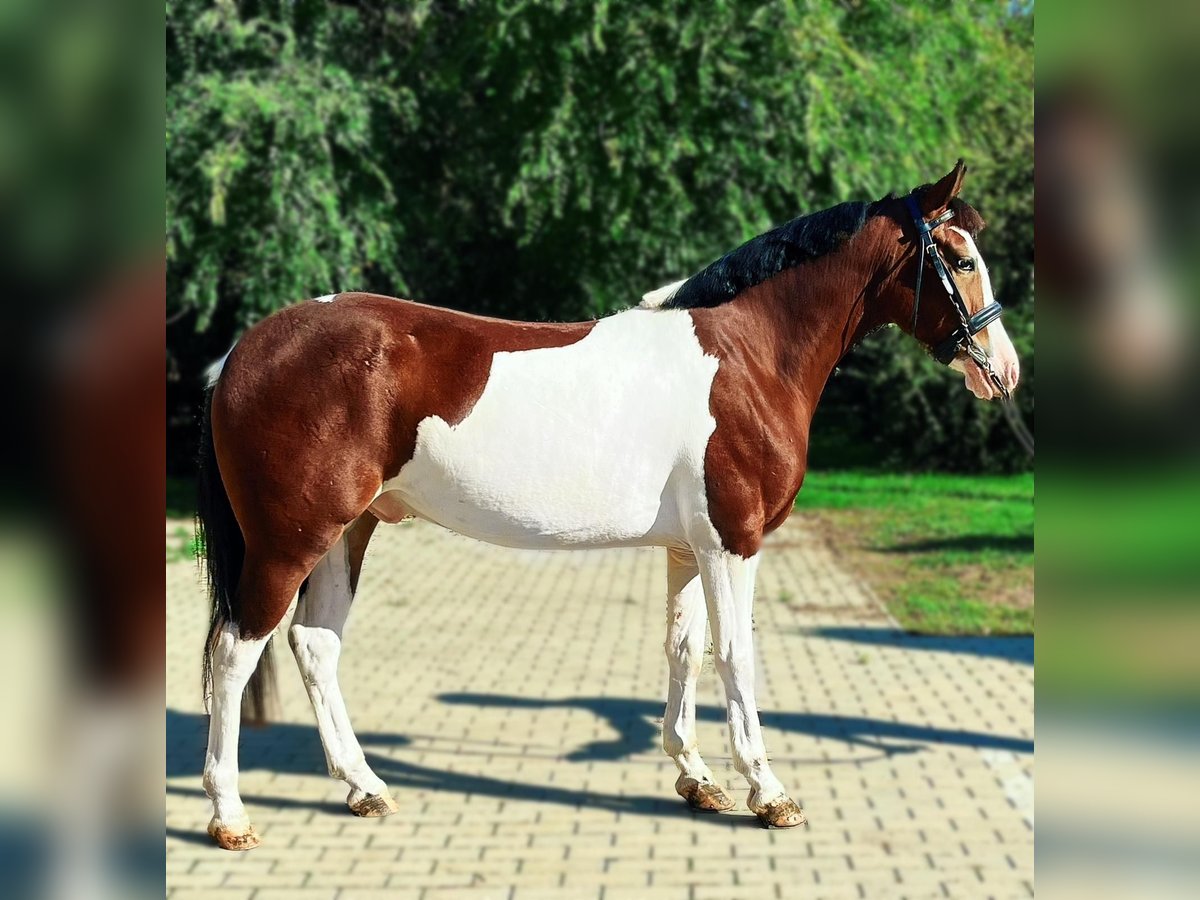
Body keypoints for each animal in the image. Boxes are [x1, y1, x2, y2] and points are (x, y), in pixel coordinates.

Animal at [199, 160, 1022, 854]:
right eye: (960, 259)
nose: (1004, 370)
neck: (747, 356)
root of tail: (243, 352)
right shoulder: (733, 542)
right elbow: (736, 654)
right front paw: (768, 792)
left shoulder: (689, 548)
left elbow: (684, 649)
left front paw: (698, 778)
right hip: (289, 541)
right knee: (235, 654)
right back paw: (230, 816)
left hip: (349, 532)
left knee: (314, 645)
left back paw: (365, 788)